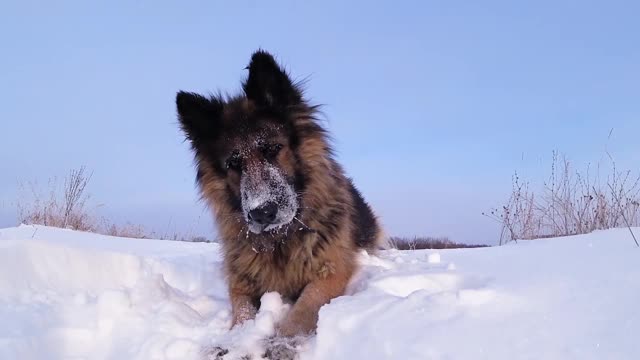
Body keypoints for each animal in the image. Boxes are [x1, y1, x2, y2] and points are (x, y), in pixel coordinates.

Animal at [176, 50, 380, 340]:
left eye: (273, 148)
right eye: (233, 164)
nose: (262, 213)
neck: (281, 239)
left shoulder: (331, 271)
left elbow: (305, 307)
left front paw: (281, 342)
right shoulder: (241, 282)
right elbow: (242, 313)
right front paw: (235, 340)